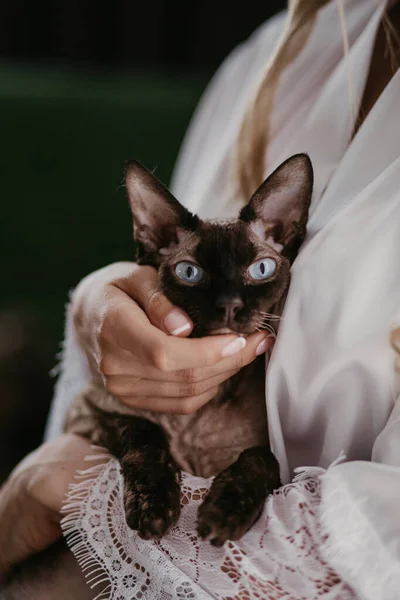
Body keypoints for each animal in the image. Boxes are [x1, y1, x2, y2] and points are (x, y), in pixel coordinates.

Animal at [65, 152, 314, 548]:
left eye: (261, 269)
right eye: (189, 272)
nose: (228, 305)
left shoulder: (276, 462)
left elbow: (263, 458)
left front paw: (223, 512)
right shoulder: (86, 415)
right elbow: (142, 431)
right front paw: (152, 505)